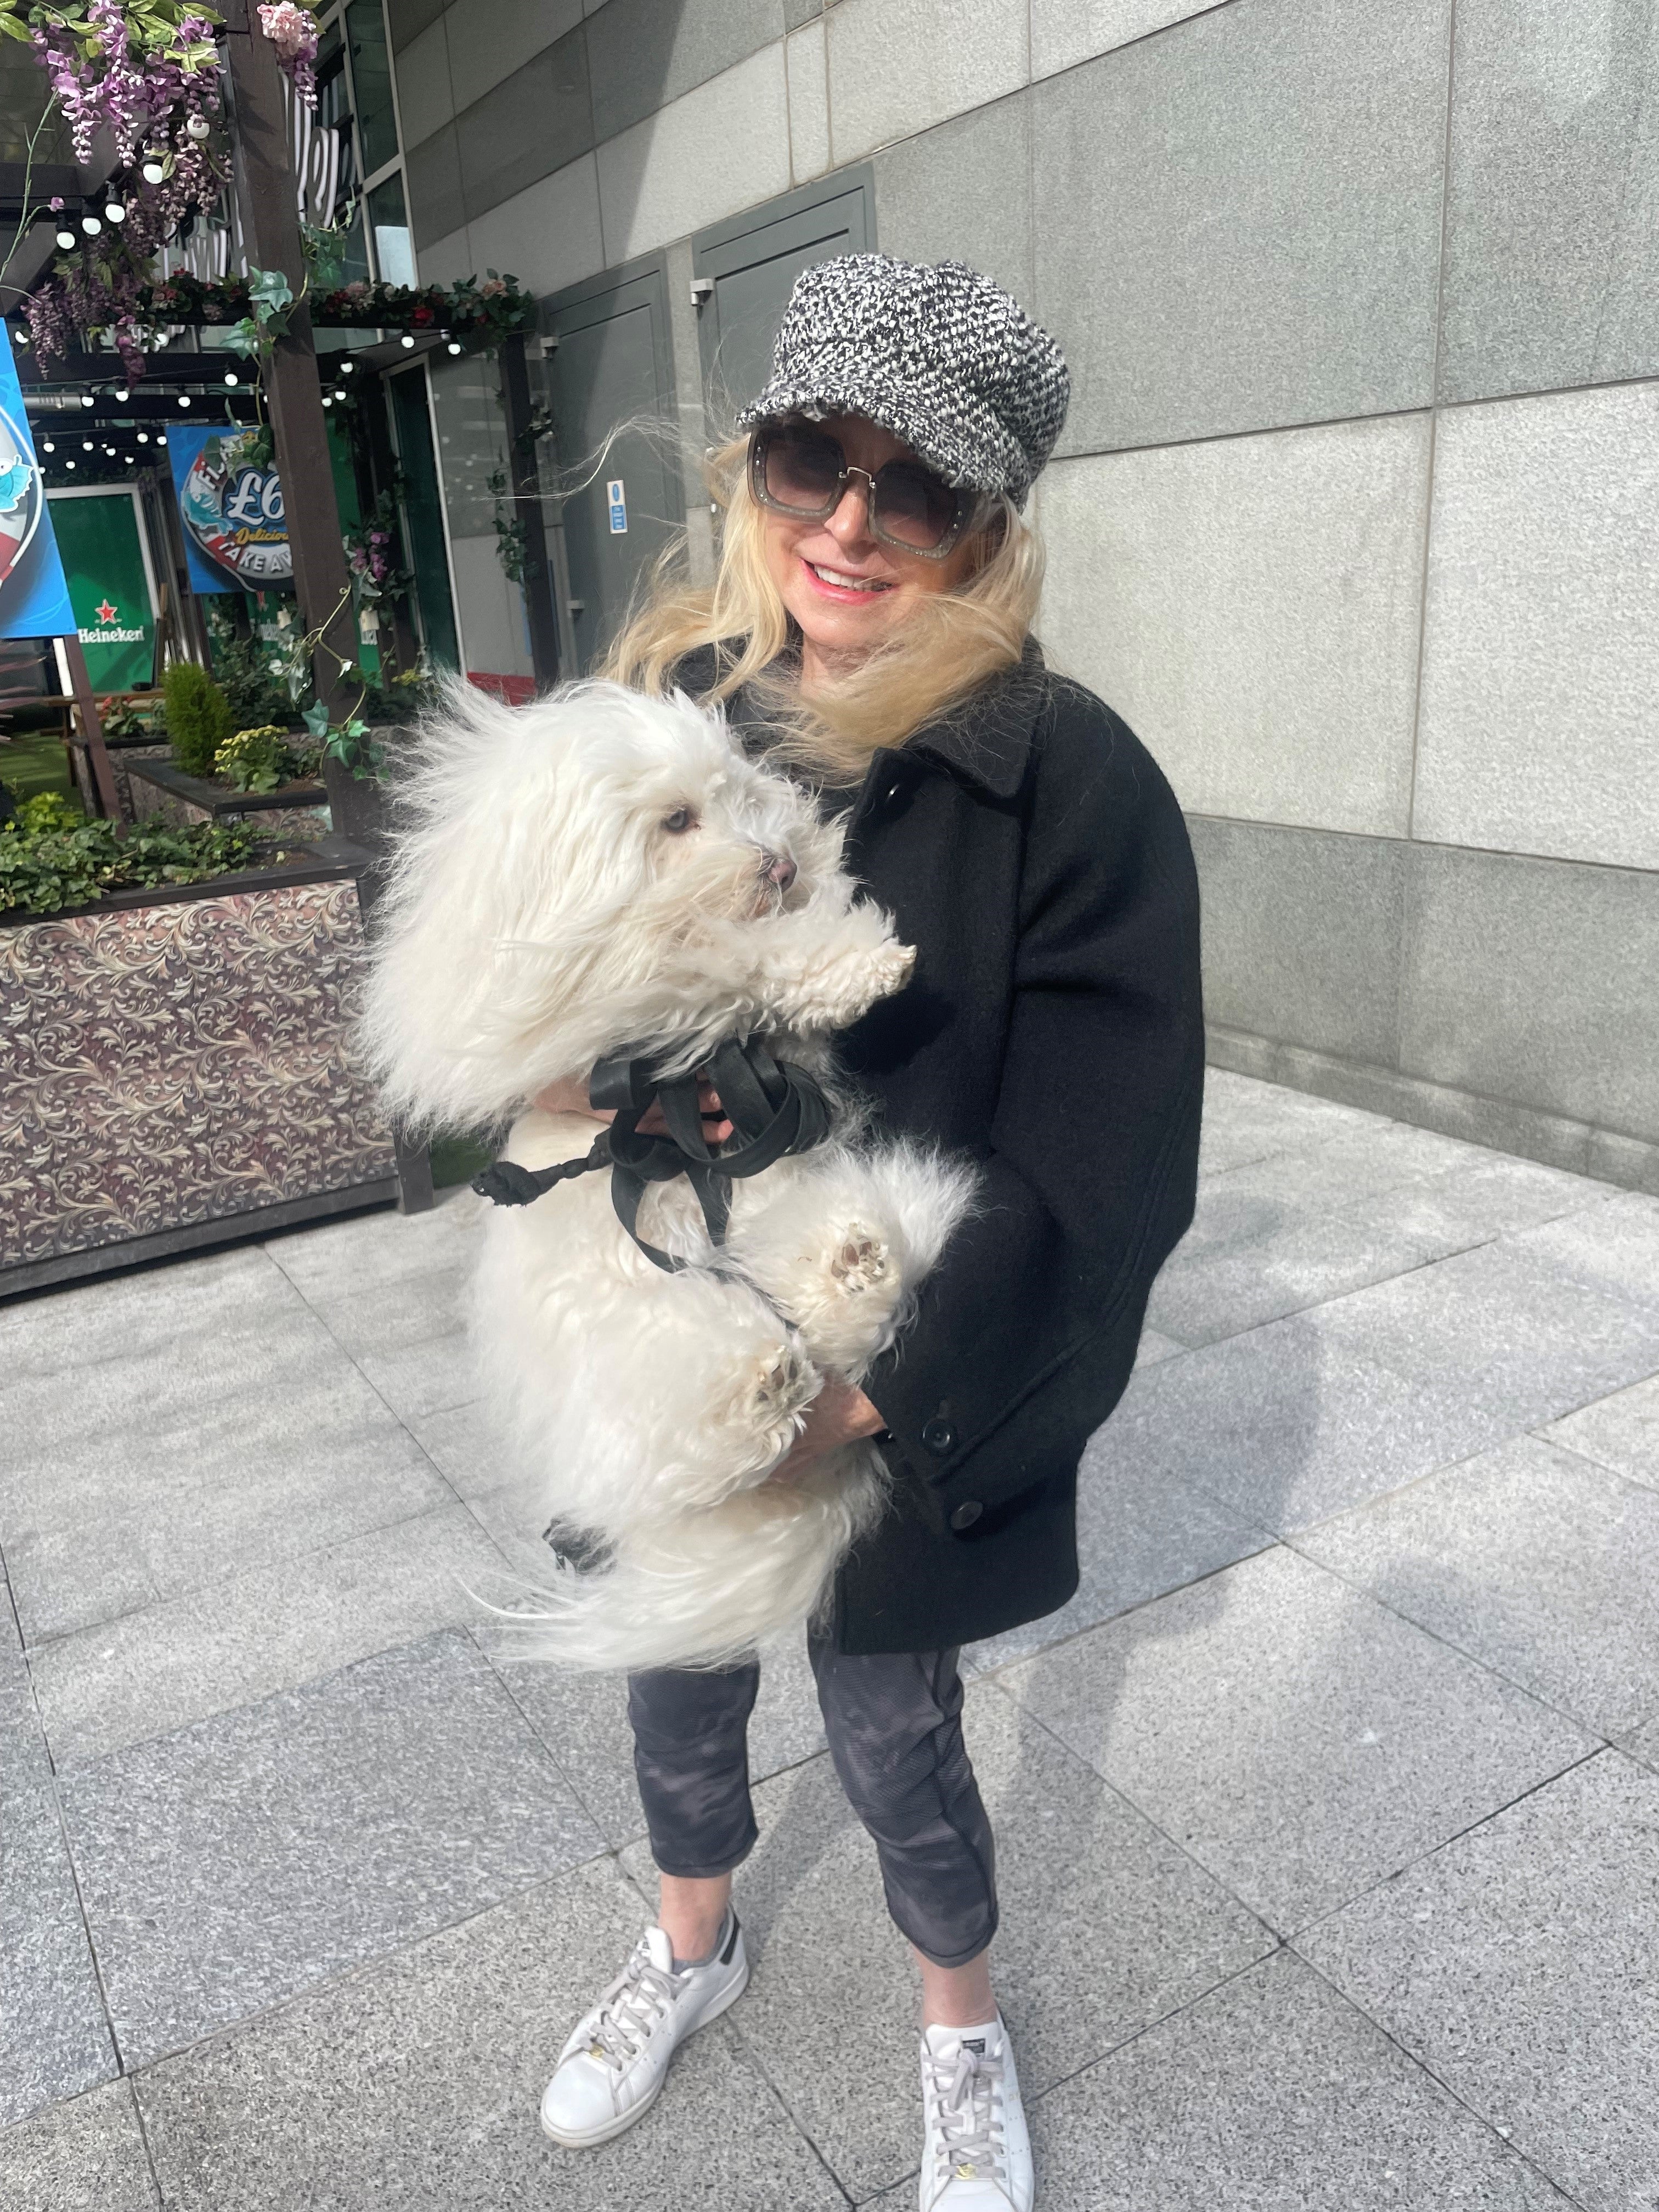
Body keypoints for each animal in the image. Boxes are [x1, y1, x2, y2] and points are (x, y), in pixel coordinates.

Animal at [363, 681, 982, 1663]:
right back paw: (760, 1389)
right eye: (679, 820)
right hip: (639, 1339)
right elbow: (727, 957)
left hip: (794, 1208)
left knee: (842, 1314)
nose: (775, 865)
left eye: (741, 798)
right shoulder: (611, 990)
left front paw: (852, 945)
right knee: (693, 1435)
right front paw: (845, 961)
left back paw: (850, 1271)